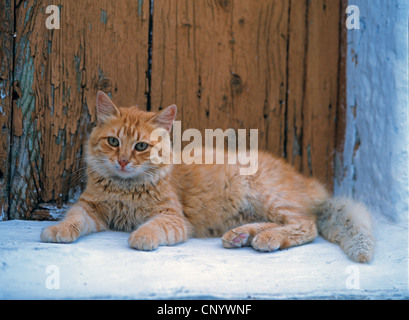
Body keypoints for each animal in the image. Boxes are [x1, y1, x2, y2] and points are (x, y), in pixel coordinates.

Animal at [40, 91, 372, 262]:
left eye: (140, 146)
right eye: (113, 142)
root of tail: (309, 182)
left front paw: (142, 237)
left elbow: (152, 226)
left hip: (262, 192)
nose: (122, 161)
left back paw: (267, 239)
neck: (125, 188)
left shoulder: (172, 218)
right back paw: (242, 236)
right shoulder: (91, 209)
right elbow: (73, 218)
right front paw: (58, 230)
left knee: (305, 226)